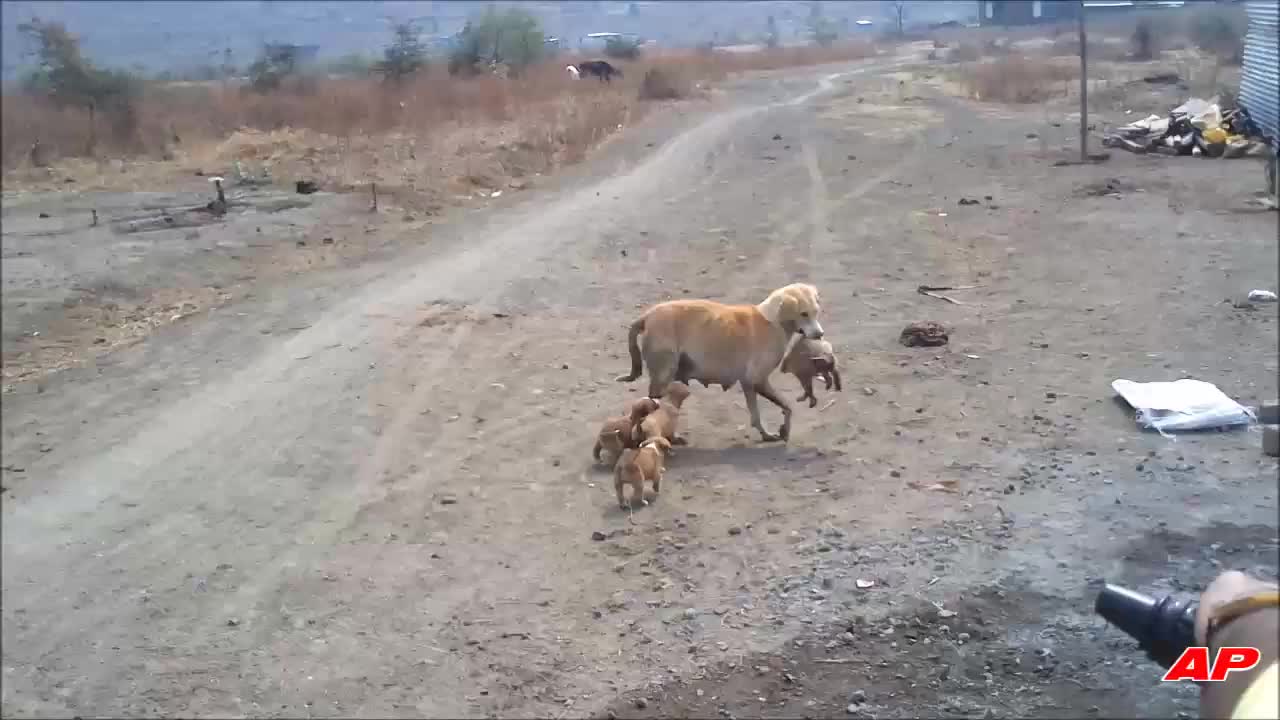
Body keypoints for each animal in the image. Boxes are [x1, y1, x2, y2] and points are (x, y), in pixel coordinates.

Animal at [614, 283, 824, 440]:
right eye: (803, 314)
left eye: (816, 312)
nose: (820, 334)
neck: (772, 319)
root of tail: (648, 315)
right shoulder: (758, 380)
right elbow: (788, 406)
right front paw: (784, 429)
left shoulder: (748, 383)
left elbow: (755, 414)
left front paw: (766, 434)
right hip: (663, 375)